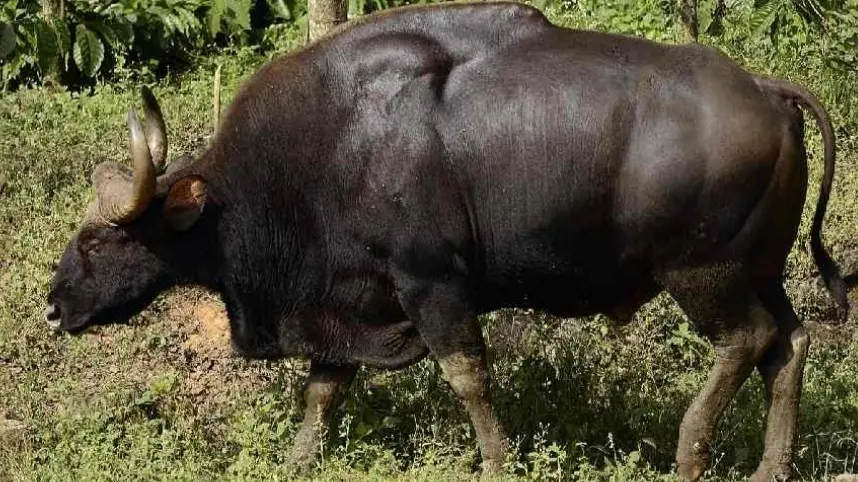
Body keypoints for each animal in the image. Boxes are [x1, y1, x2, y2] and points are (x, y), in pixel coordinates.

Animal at [46, 2, 848, 480]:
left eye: (99, 242)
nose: (53, 308)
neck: (331, 145)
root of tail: (769, 90)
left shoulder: (432, 284)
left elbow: (467, 377)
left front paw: (496, 463)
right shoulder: (350, 296)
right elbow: (324, 386)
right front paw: (300, 459)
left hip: (701, 274)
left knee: (744, 341)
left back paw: (689, 452)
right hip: (761, 270)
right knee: (790, 342)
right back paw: (772, 467)